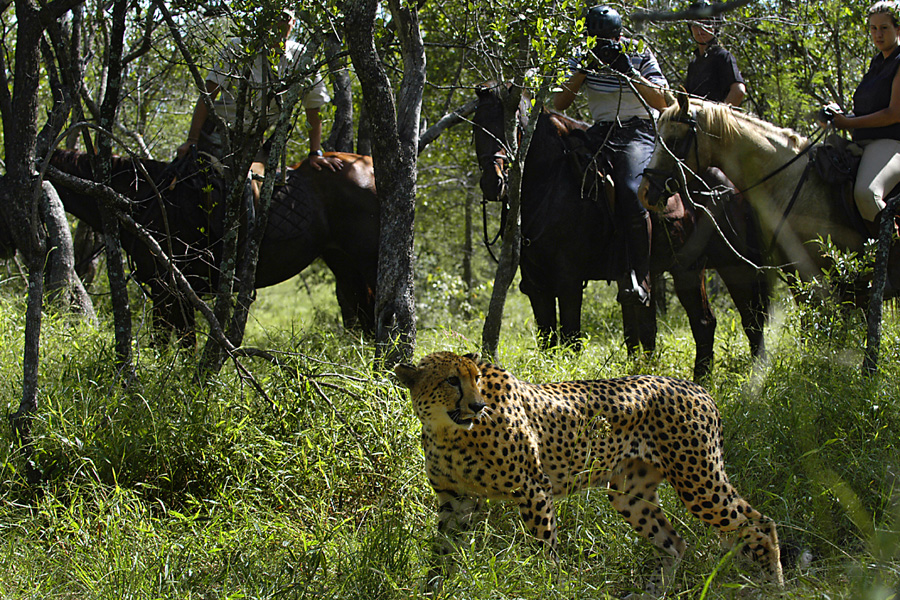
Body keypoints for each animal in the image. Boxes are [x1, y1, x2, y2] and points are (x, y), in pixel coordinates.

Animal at [47, 149, 380, 343]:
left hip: (368, 261)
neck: (142, 199)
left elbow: (177, 344)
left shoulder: (170, 289)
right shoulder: (166, 290)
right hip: (343, 263)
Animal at [473, 83, 770, 380]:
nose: (492, 181)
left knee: (729, 321)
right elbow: (548, 341)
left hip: (714, 267)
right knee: (705, 322)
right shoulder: (536, 284)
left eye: (512, 124)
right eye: (476, 126)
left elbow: (570, 339)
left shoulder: (569, 279)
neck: (551, 182)